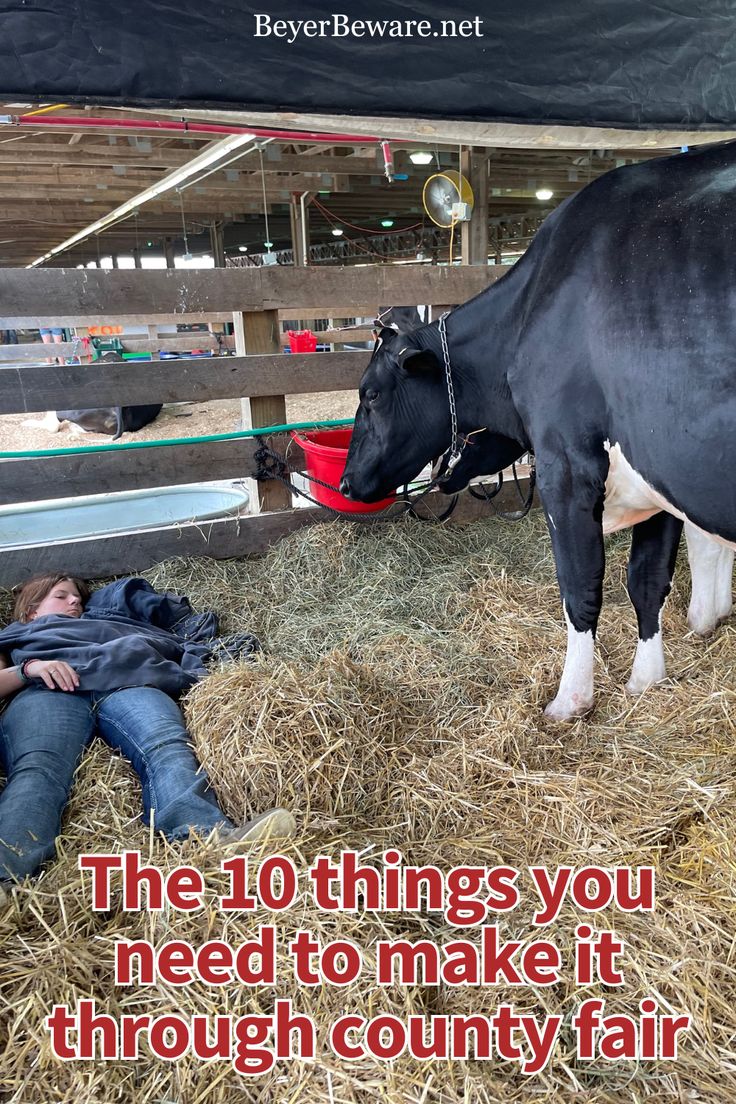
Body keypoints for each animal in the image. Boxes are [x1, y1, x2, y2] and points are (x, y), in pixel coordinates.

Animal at [342, 138, 736, 719]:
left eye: (370, 394)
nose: (345, 482)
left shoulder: (567, 464)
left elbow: (580, 586)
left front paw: (569, 701)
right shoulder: (655, 477)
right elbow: (646, 579)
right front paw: (645, 682)